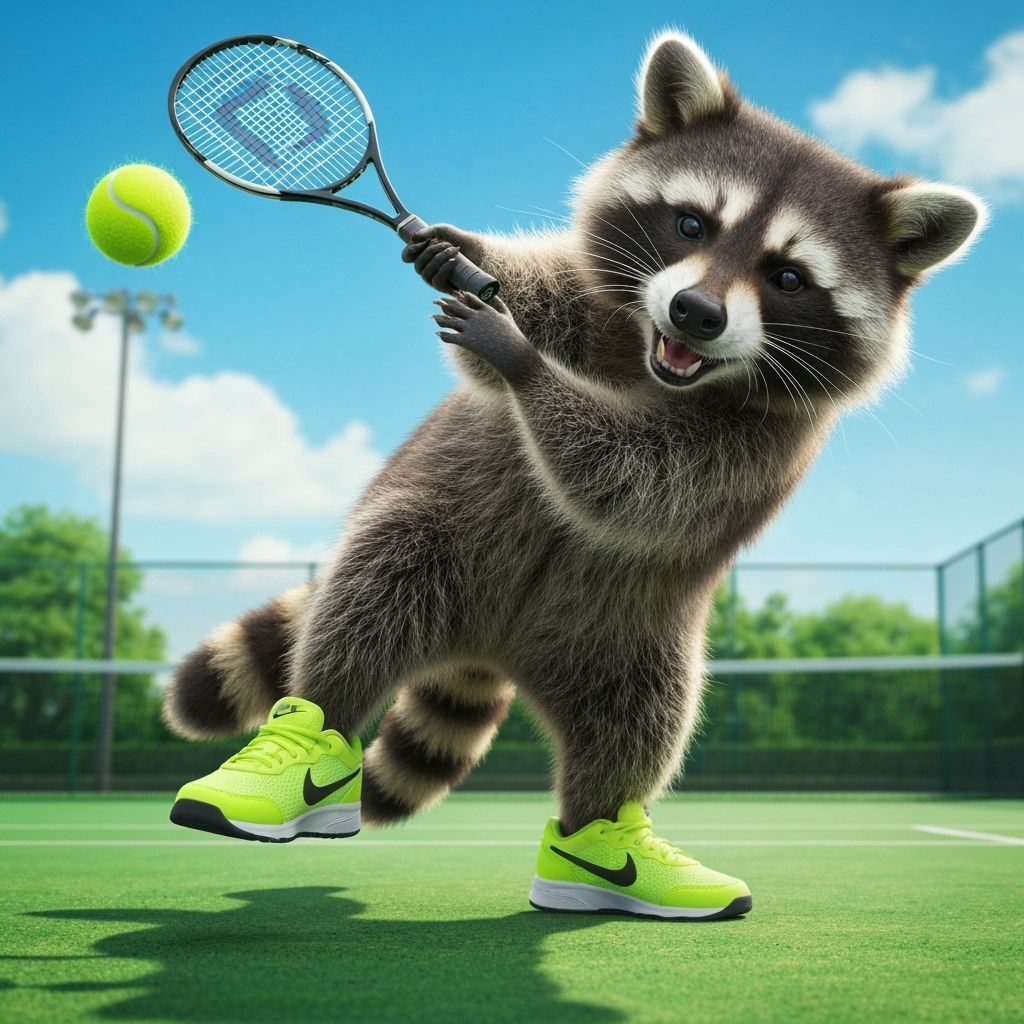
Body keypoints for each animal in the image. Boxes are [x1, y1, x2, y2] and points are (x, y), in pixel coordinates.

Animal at [164, 32, 985, 834]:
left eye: (788, 277)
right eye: (691, 223)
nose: (695, 312)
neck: (657, 361)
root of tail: (490, 647)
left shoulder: (765, 441)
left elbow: (637, 482)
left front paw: (524, 363)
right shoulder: (594, 303)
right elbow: (531, 321)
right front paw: (466, 261)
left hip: (630, 639)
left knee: (637, 729)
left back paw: (602, 832)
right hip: (447, 543)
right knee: (375, 586)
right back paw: (316, 726)